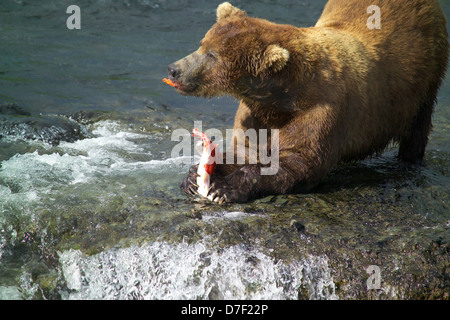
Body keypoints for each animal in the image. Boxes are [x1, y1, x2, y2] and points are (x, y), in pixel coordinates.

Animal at [170, 0, 450, 202]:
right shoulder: (257, 112)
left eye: (213, 55)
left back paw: (409, 161)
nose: (174, 70)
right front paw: (194, 176)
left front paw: (223, 188)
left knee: (417, 127)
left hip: (424, 77)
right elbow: (246, 149)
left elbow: (299, 161)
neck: (282, 96)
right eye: (202, 43)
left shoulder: (321, 108)